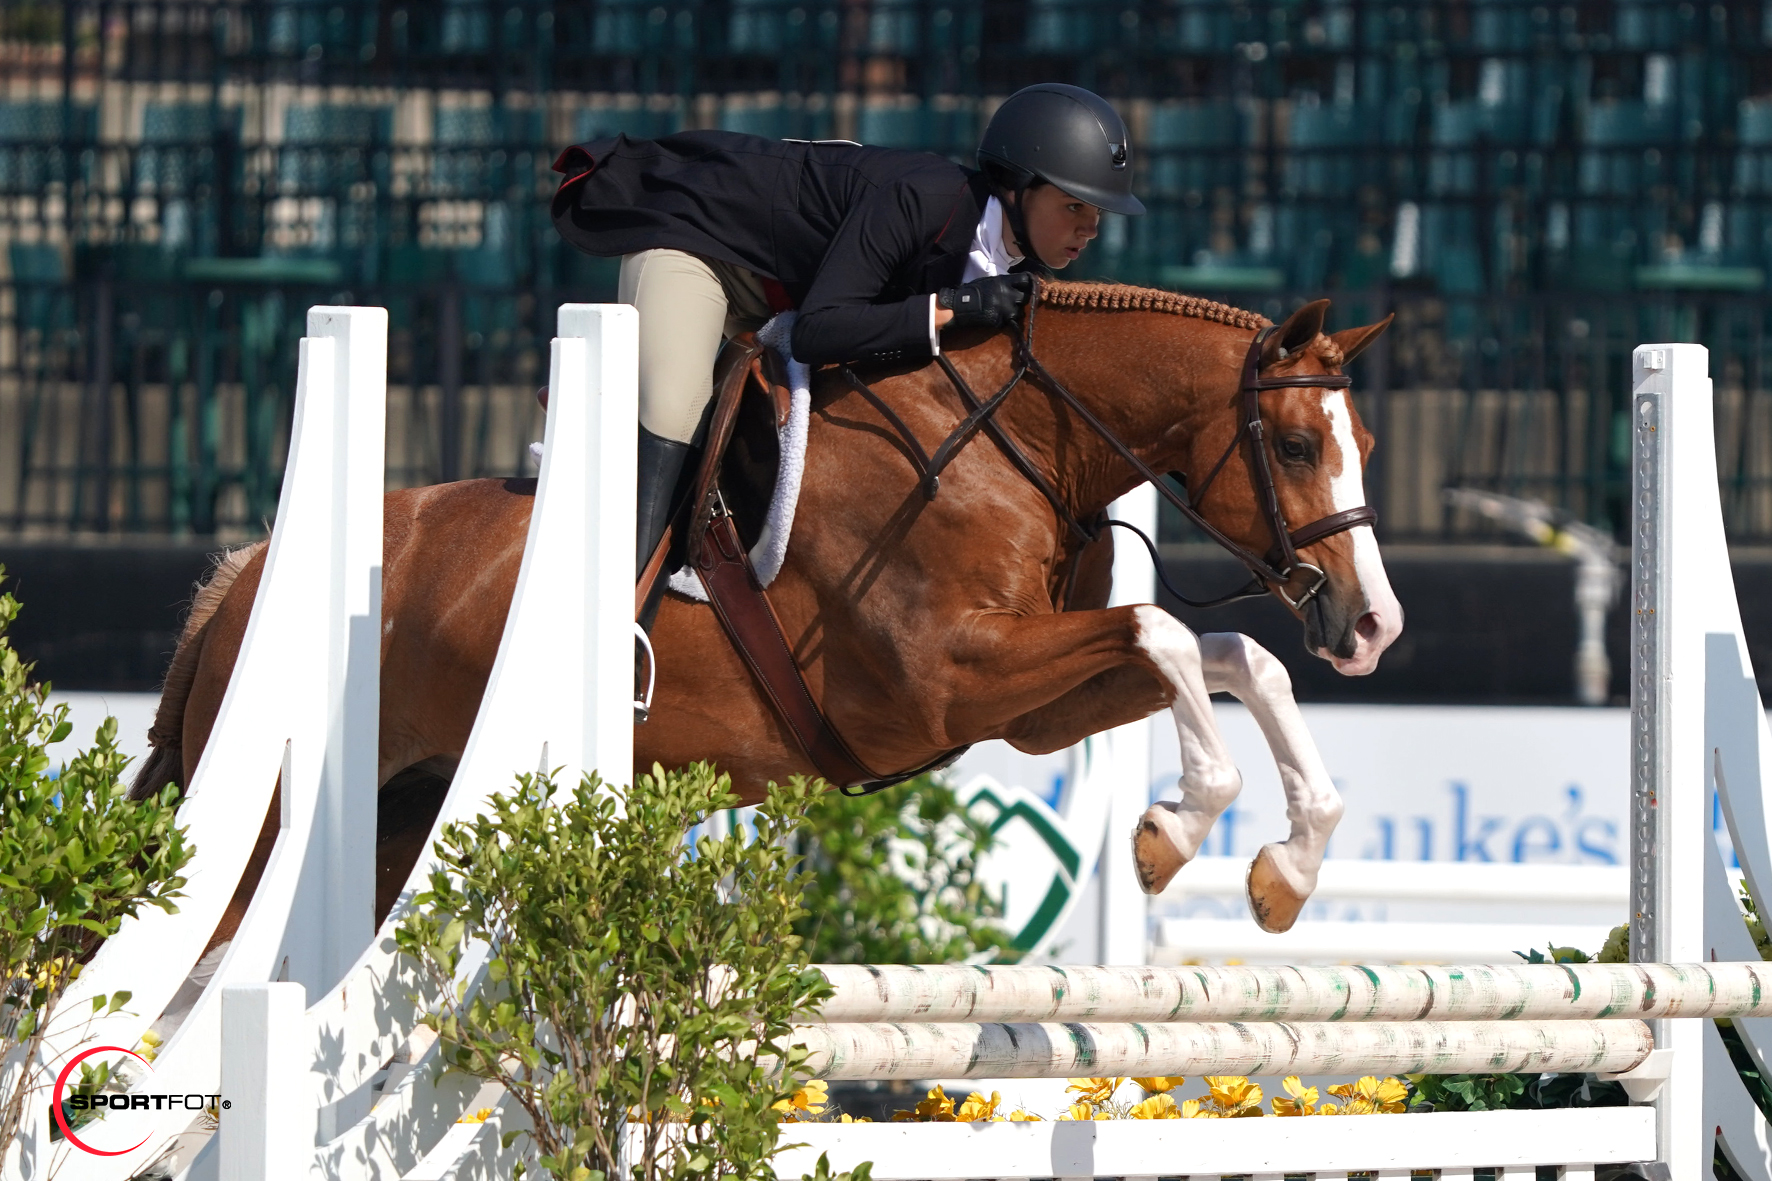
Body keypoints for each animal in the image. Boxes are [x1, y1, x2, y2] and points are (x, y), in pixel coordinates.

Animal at [131, 280, 1396, 943]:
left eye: (1366, 448)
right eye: (1294, 446)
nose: (1371, 625)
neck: (1011, 441)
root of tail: (245, 574)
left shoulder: (1025, 707)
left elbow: (1232, 654)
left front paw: (1282, 868)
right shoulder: (951, 677)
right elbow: (1171, 632)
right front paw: (1175, 830)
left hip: (403, 821)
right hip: (261, 830)